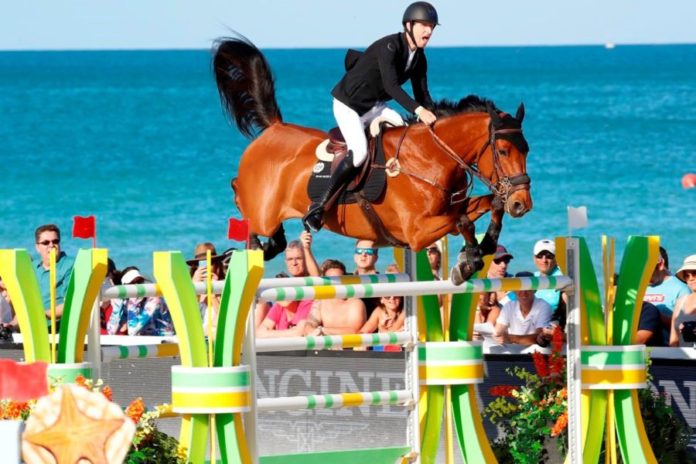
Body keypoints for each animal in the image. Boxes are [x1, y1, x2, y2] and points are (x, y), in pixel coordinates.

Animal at [215, 36, 532, 284]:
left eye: (527, 150)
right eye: (504, 151)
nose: (522, 204)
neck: (432, 157)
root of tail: (274, 127)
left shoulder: (447, 210)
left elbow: (489, 205)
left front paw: (483, 246)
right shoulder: (417, 232)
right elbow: (463, 221)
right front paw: (470, 261)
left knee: (272, 236)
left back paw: (259, 248)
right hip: (262, 210)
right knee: (239, 194)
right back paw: (247, 246)